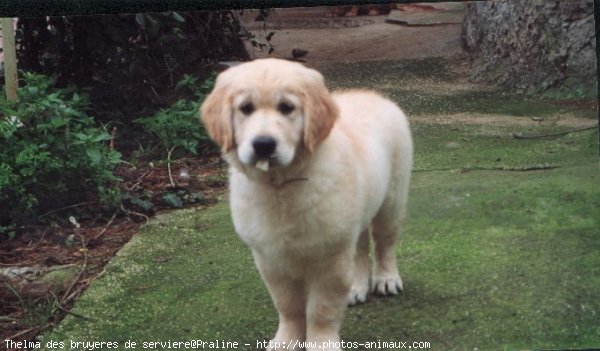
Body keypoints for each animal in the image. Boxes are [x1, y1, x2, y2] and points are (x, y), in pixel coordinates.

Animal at [202, 59, 412, 350]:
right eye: (245, 108)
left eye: (286, 107)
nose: (263, 145)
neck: (281, 186)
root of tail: (373, 95)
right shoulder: (270, 258)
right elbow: (288, 305)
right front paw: (286, 341)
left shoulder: (331, 257)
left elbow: (320, 310)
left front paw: (321, 342)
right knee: (360, 248)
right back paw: (356, 288)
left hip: (391, 200)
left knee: (384, 243)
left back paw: (386, 279)